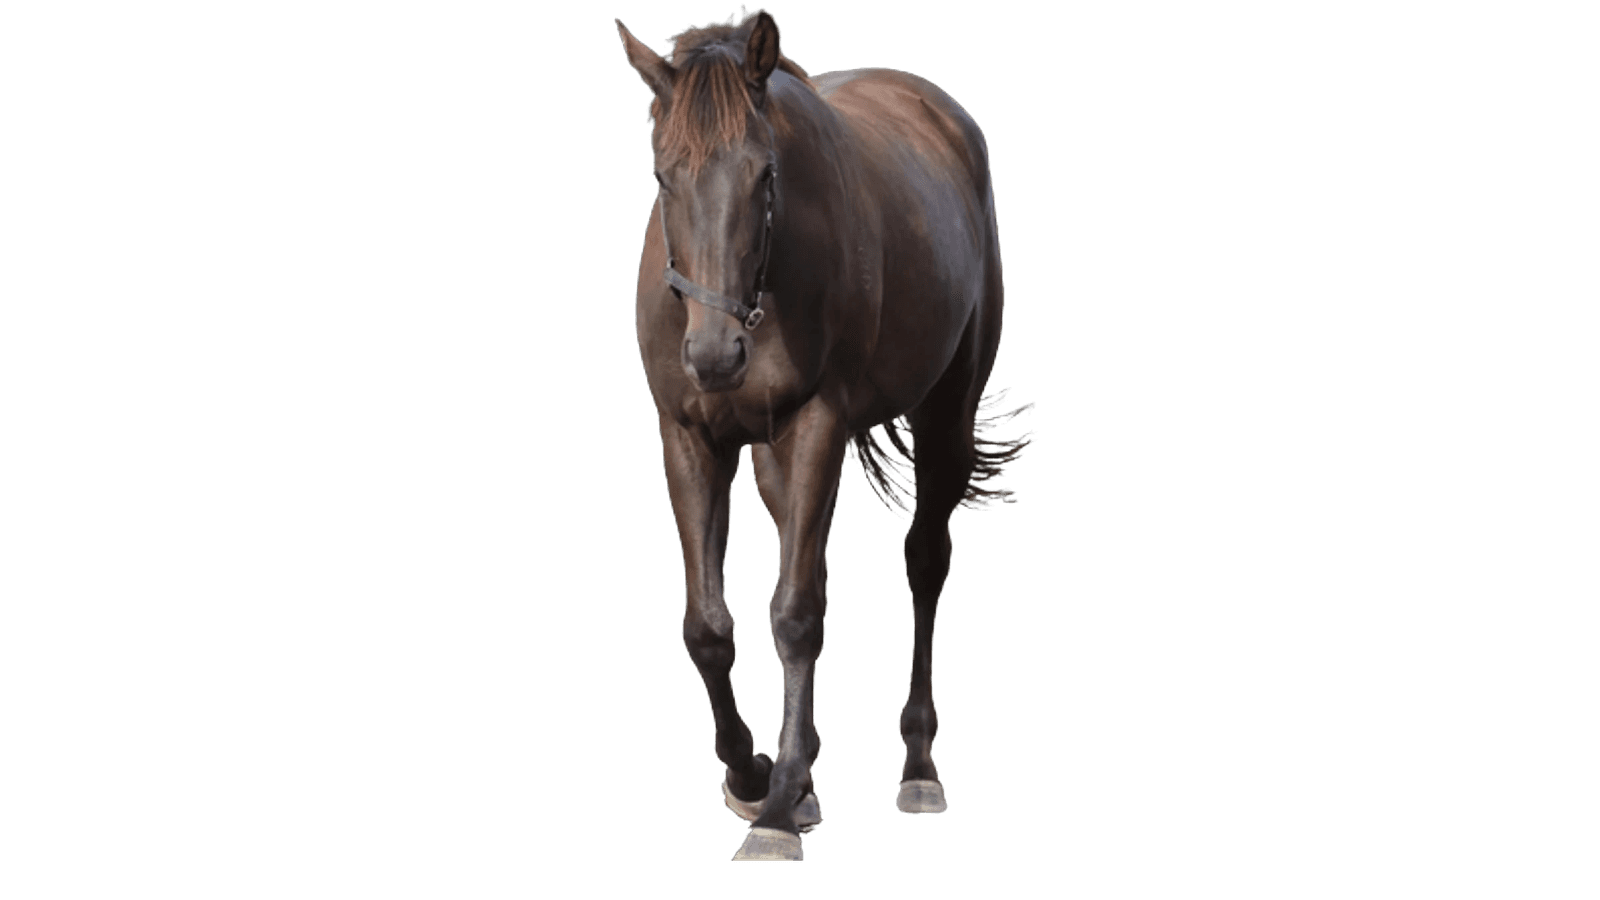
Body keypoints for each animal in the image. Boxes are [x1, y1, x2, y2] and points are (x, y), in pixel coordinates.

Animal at [615, 6, 1037, 862]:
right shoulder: (689, 435)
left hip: (943, 409)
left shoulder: (817, 425)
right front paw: (754, 779)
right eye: (664, 173)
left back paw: (917, 767)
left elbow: (796, 615)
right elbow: (709, 627)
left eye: (765, 174)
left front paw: (777, 812)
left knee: (925, 564)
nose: (715, 355)